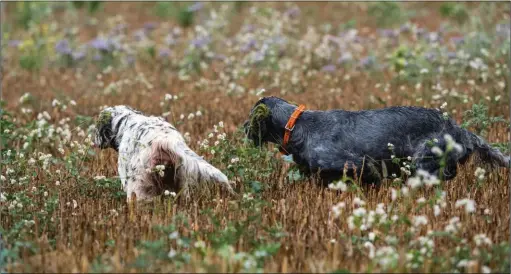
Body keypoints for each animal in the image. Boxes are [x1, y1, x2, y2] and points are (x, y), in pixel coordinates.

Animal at [243, 96, 508, 186]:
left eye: (250, 116)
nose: (243, 127)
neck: (298, 126)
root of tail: (460, 130)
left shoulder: (355, 164)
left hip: (422, 162)